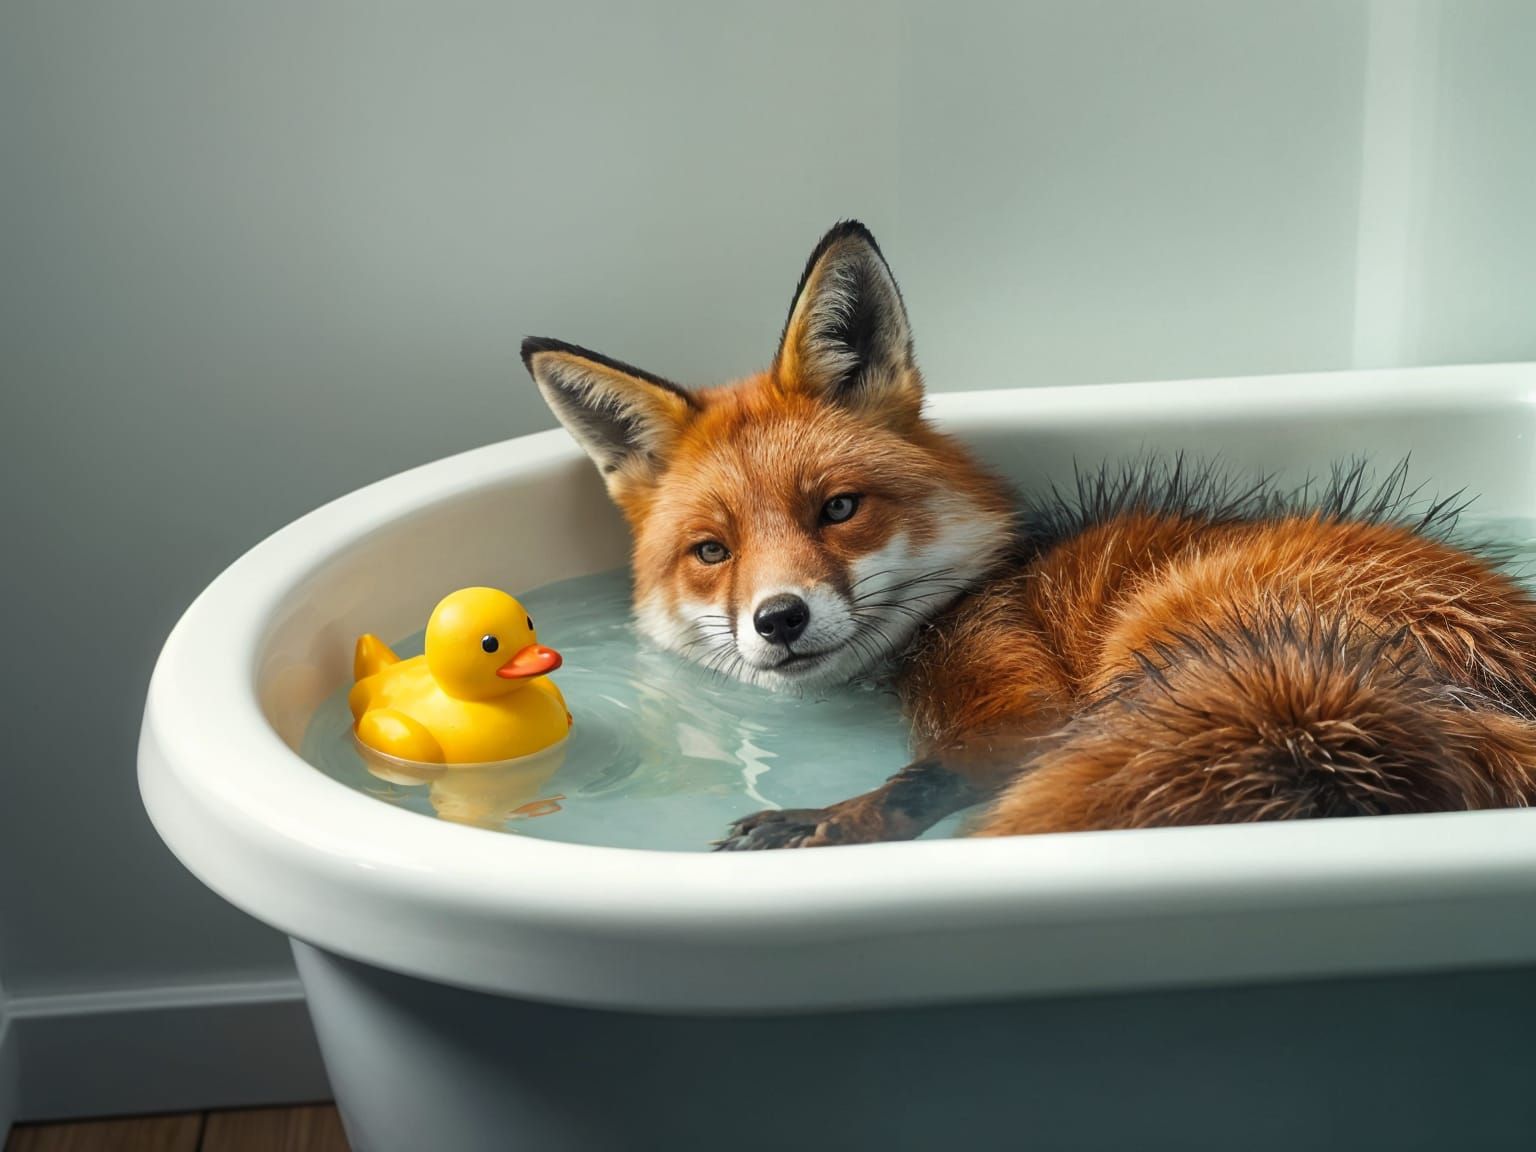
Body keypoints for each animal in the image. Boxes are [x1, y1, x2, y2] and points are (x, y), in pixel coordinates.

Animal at [521, 220, 1536, 849]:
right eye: (712, 552)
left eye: (837, 510)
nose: (779, 619)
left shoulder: (1027, 707)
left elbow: (924, 778)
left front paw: (834, 824)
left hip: (1165, 649)